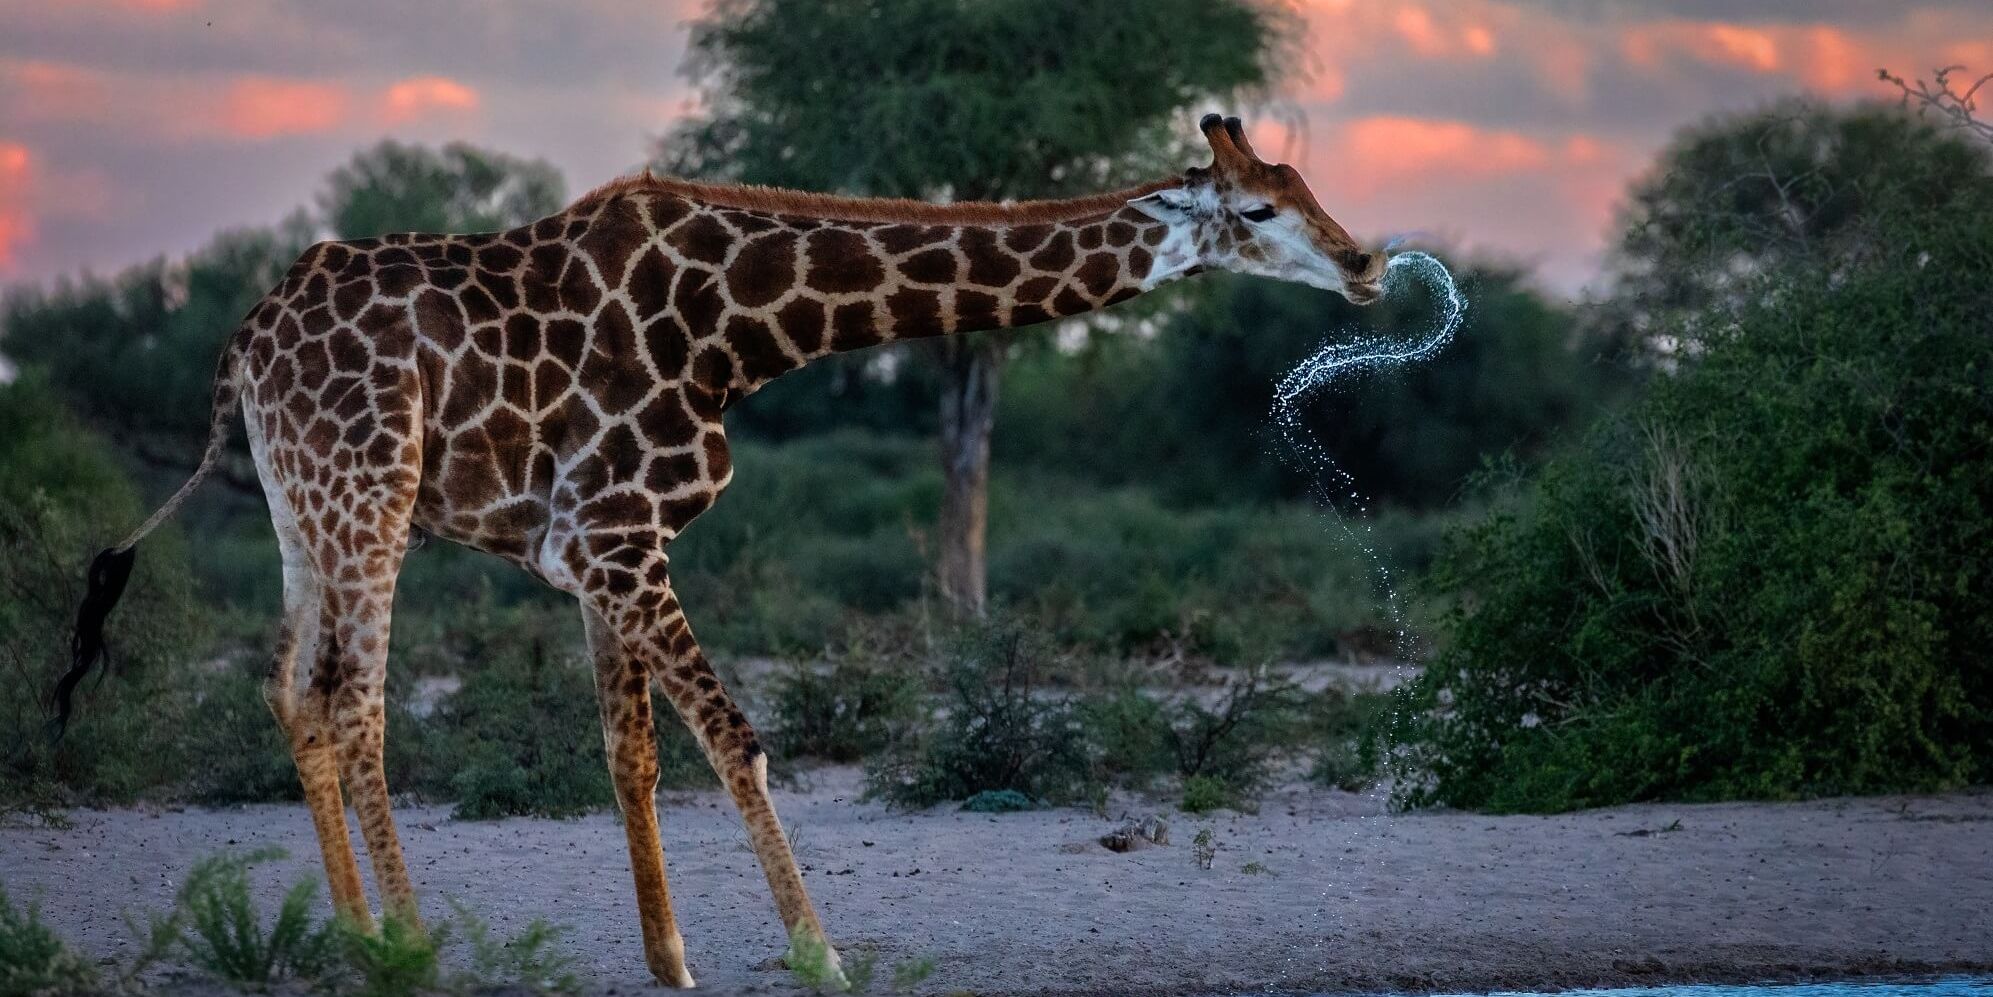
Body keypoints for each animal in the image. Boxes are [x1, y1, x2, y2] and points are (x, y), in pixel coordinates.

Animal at [55, 115, 1386, 988]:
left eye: (1306, 183)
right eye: (1259, 210)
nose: (1368, 260)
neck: (741, 330)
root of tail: (244, 344)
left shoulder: (593, 549)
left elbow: (631, 753)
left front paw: (672, 960)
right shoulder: (615, 528)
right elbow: (736, 736)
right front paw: (821, 951)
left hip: (303, 502)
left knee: (290, 687)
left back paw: (354, 935)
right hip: (368, 485)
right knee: (353, 699)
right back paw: (412, 947)